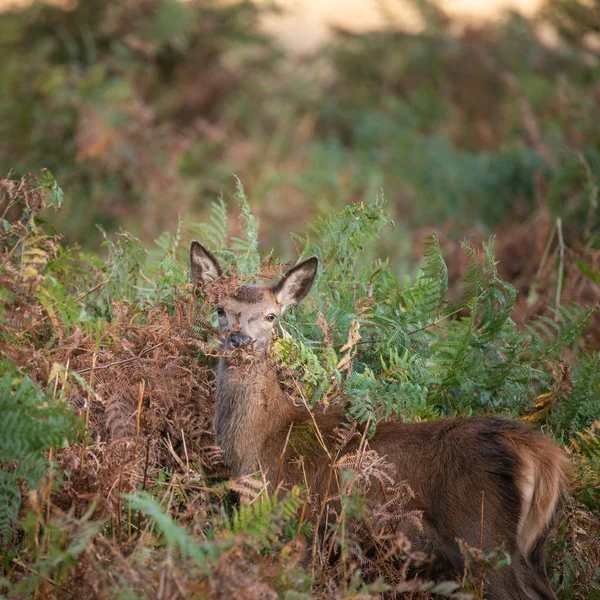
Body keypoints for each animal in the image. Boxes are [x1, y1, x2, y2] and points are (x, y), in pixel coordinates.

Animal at [190, 240, 568, 600]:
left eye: (271, 316)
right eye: (221, 309)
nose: (240, 340)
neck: (259, 444)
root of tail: (539, 452)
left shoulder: (292, 516)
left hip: (480, 531)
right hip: (527, 549)